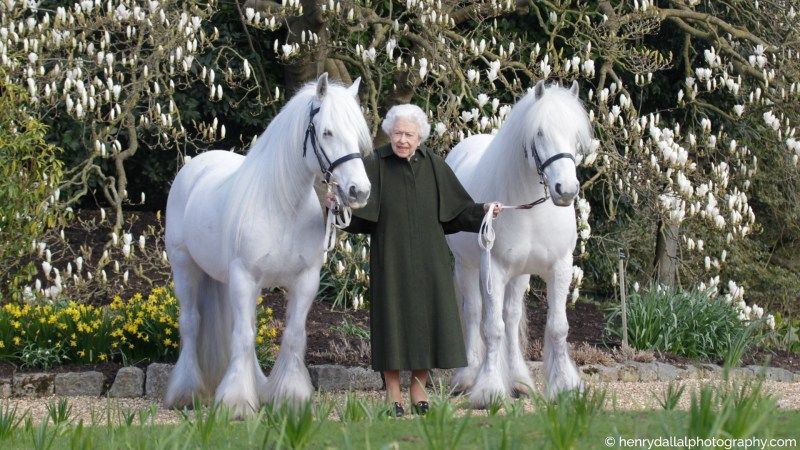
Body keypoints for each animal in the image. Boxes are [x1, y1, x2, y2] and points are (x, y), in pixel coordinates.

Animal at [163, 73, 372, 417]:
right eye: (327, 132)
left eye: (357, 134)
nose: (360, 191)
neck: (282, 206)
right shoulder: (245, 277)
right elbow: (244, 337)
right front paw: (236, 403)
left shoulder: (305, 281)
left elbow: (292, 336)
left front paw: (290, 397)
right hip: (185, 268)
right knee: (191, 323)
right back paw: (186, 392)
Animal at [445, 80, 593, 407]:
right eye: (539, 133)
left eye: (575, 135)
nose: (566, 190)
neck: (530, 209)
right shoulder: (494, 269)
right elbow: (492, 328)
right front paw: (488, 390)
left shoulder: (560, 267)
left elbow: (557, 327)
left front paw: (564, 386)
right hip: (466, 267)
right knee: (474, 313)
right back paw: (468, 376)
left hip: (520, 274)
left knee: (511, 318)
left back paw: (519, 381)